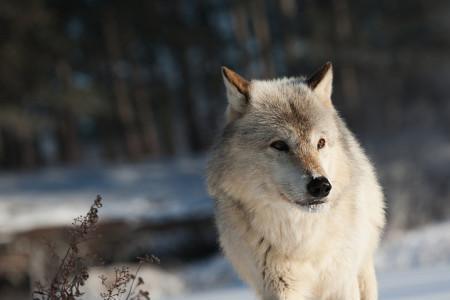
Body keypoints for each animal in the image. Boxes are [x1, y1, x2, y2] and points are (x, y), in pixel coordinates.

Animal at [207, 62, 386, 298]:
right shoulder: (279, 287)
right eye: (279, 145)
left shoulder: (341, 282)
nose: (321, 186)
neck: (303, 240)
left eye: (320, 143)